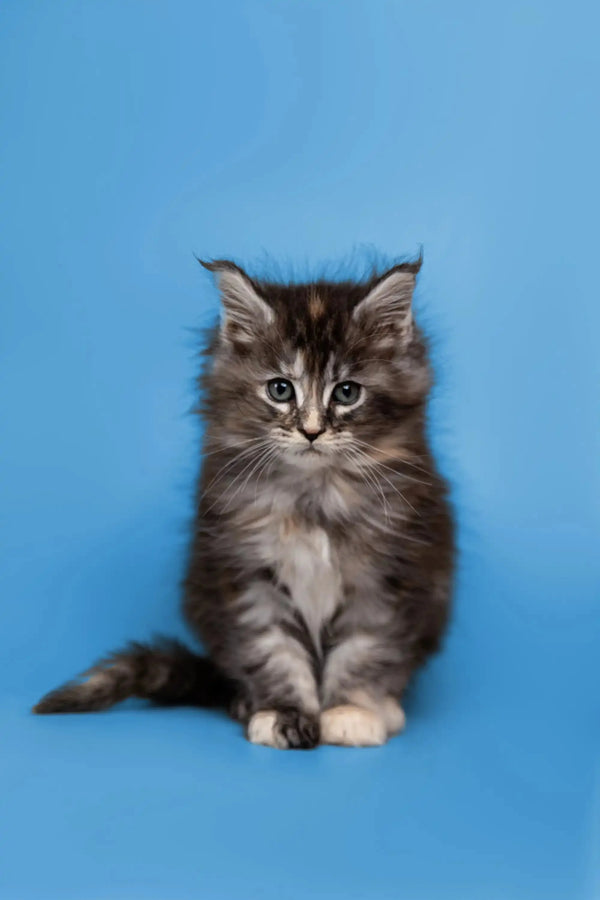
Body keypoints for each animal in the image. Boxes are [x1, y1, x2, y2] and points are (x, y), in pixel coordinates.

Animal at [34, 256, 454, 748]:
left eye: (347, 392)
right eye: (280, 389)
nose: (311, 431)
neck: (312, 497)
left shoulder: (387, 574)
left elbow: (364, 648)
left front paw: (351, 710)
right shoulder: (245, 573)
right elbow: (273, 651)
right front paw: (283, 713)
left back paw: (386, 707)